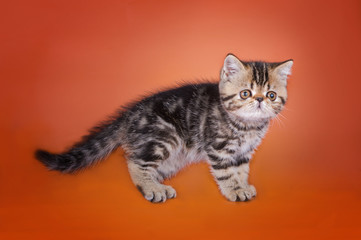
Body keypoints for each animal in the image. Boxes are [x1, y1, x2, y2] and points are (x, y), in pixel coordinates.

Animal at [34, 54, 292, 202]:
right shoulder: (218, 148)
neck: (247, 126)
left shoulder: (244, 152)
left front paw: (242, 185)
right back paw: (152, 188)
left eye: (271, 95)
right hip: (165, 136)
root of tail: (129, 114)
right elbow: (227, 171)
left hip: (172, 157)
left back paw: (157, 184)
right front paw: (234, 190)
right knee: (135, 162)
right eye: (245, 93)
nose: (259, 100)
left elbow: (241, 169)